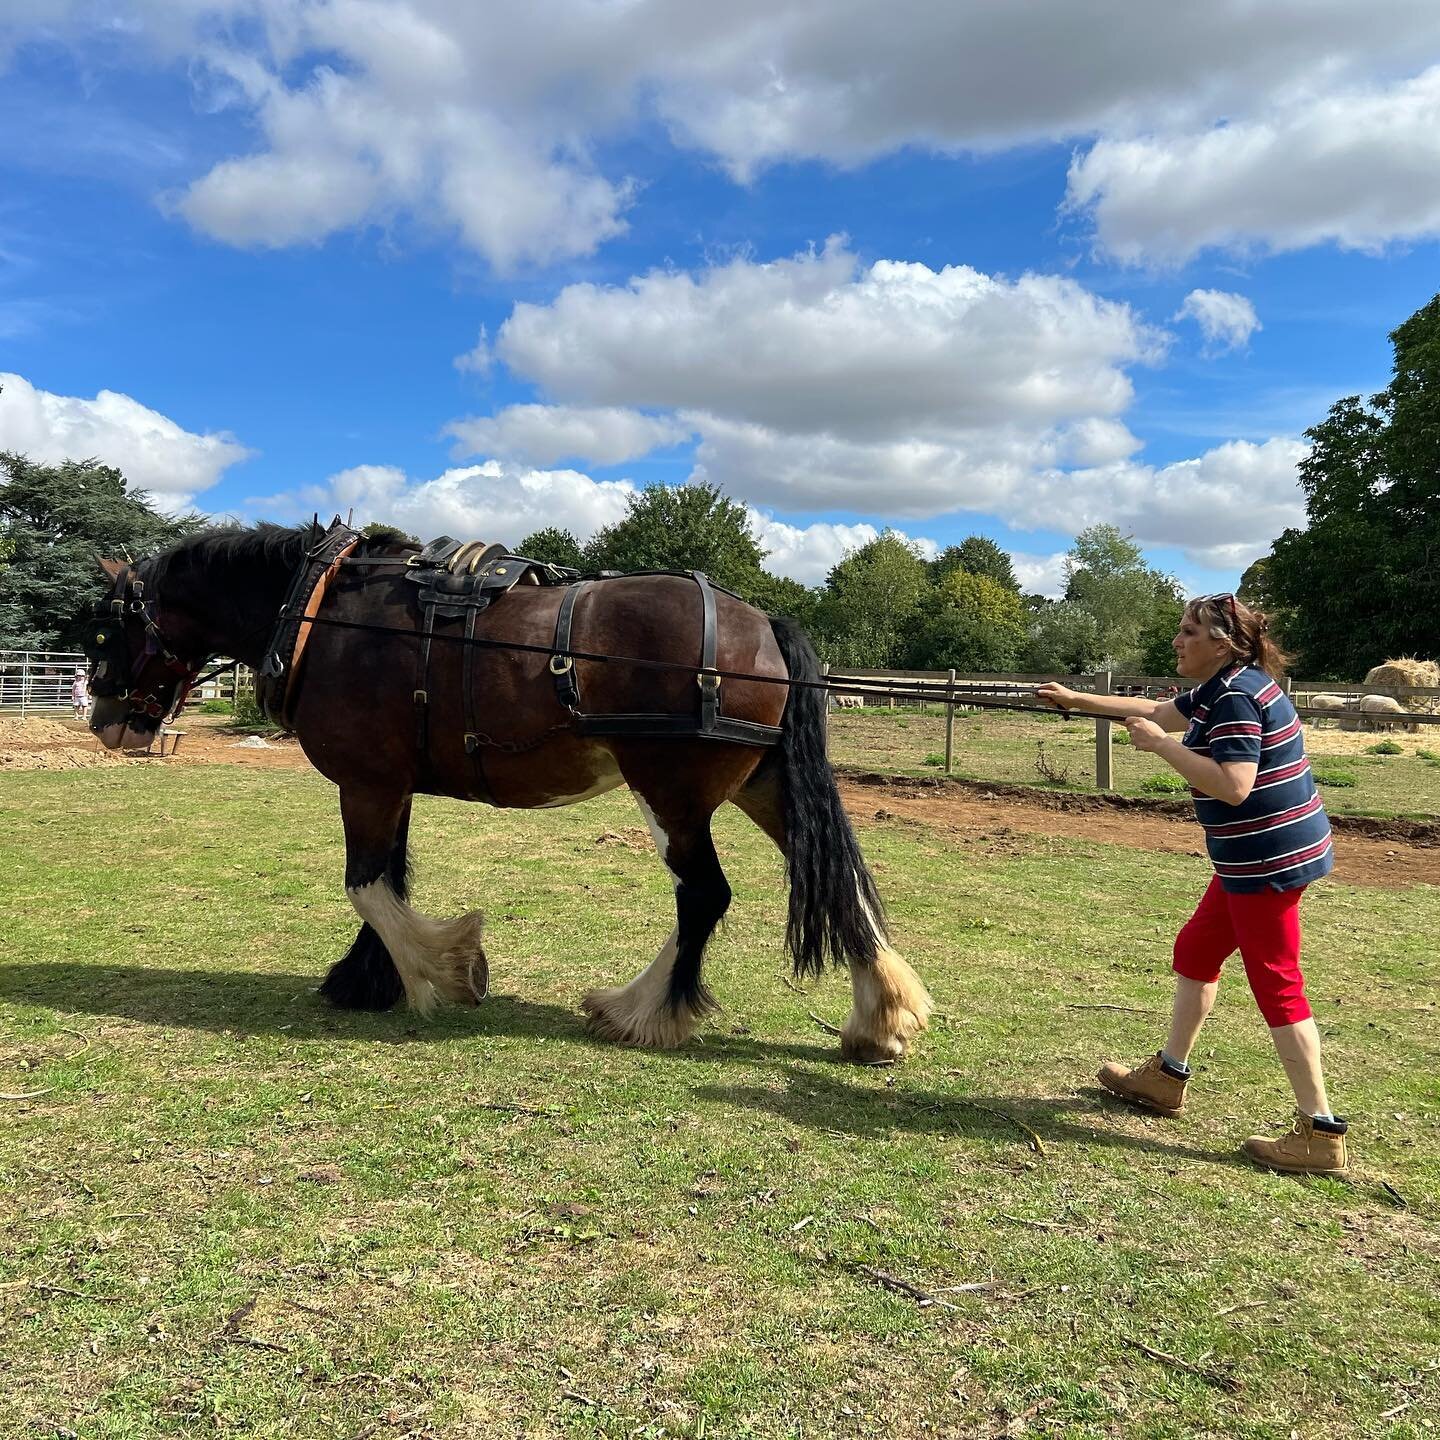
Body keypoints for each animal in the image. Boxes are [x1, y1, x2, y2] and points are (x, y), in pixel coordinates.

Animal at [84, 524, 933, 1065]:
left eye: (100, 630)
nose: (105, 722)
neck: (324, 610)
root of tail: (762, 625)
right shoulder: (391, 781)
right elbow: (389, 880)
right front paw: (369, 978)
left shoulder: (365, 781)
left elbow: (367, 885)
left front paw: (447, 969)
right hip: (763, 784)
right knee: (837, 882)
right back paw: (879, 1020)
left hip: (671, 791)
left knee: (704, 895)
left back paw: (642, 1012)